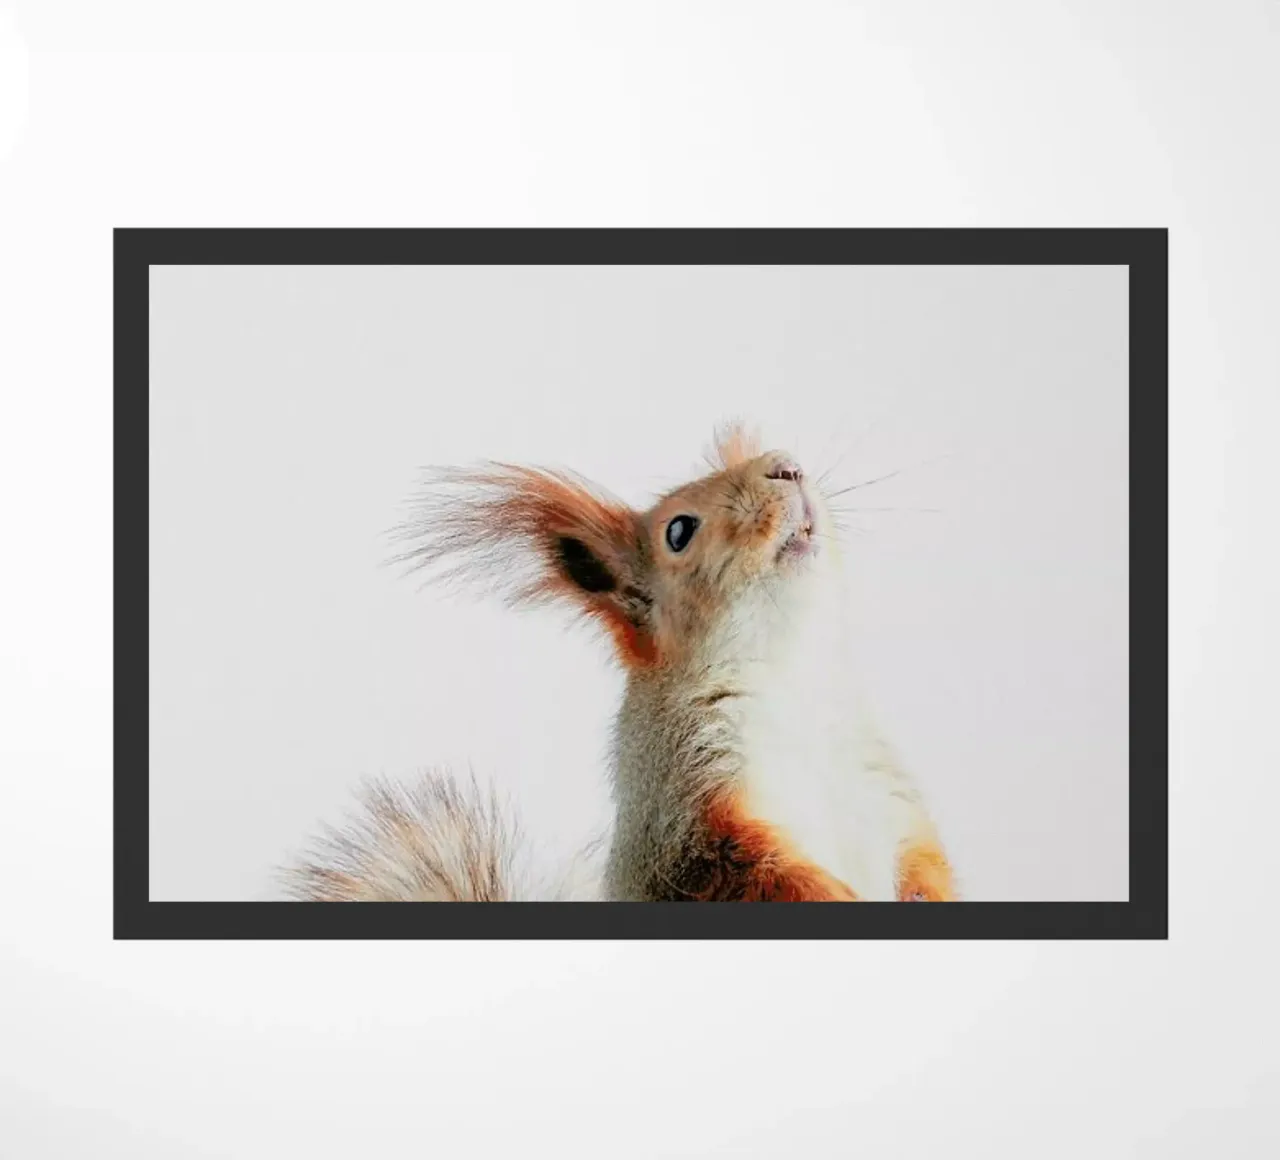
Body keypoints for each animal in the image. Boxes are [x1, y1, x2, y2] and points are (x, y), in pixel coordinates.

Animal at [284, 422, 956, 903]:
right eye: (679, 532)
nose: (787, 466)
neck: (791, 673)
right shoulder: (683, 806)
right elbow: (751, 872)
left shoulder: (884, 786)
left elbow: (924, 861)